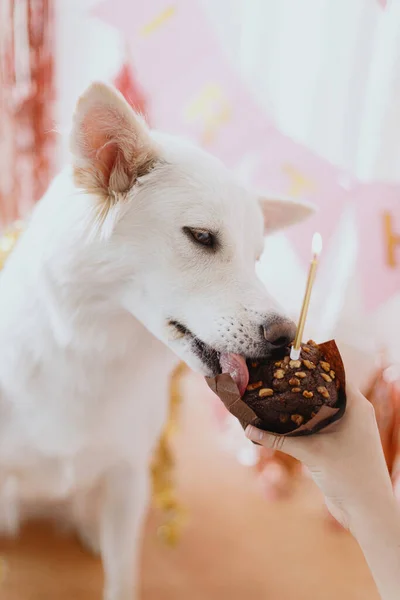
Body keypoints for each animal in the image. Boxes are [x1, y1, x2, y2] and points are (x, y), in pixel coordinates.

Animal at [0, 82, 312, 596]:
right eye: (202, 237)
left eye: (256, 258)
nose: (286, 336)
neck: (90, 355)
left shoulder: (127, 474)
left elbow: (123, 573)